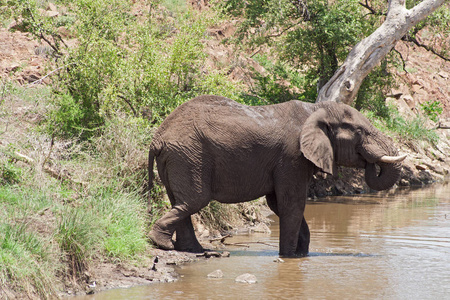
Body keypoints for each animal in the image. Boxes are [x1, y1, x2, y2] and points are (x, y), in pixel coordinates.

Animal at [149, 95, 408, 256]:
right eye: (360, 132)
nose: (370, 162)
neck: (317, 109)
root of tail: (158, 137)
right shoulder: (292, 156)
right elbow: (291, 204)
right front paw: (290, 257)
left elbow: (278, 204)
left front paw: (301, 255)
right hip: (189, 155)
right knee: (195, 200)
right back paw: (163, 244)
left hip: (179, 157)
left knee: (180, 201)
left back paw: (192, 250)